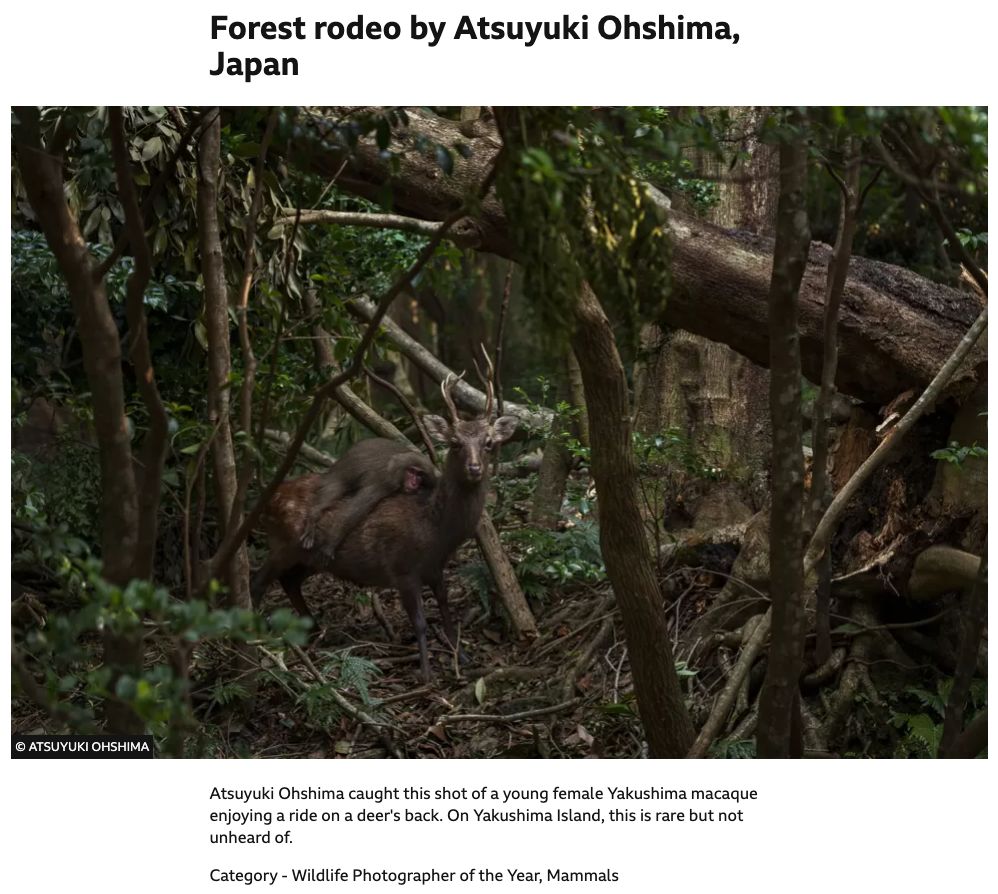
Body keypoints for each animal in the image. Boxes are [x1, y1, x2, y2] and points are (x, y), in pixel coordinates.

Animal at [250, 362, 520, 680]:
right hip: (281, 545)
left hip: (311, 559)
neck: (436, 532)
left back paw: (314, 629)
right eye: (454, 443)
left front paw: (463, 658)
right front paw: (426, 674)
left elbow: (446, 613)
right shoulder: (402, 568)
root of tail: (265, 501)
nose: (474, 467)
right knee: (257, 582)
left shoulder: (435, 568)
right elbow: (420, 622)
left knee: (289, 580)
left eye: (489, 443)